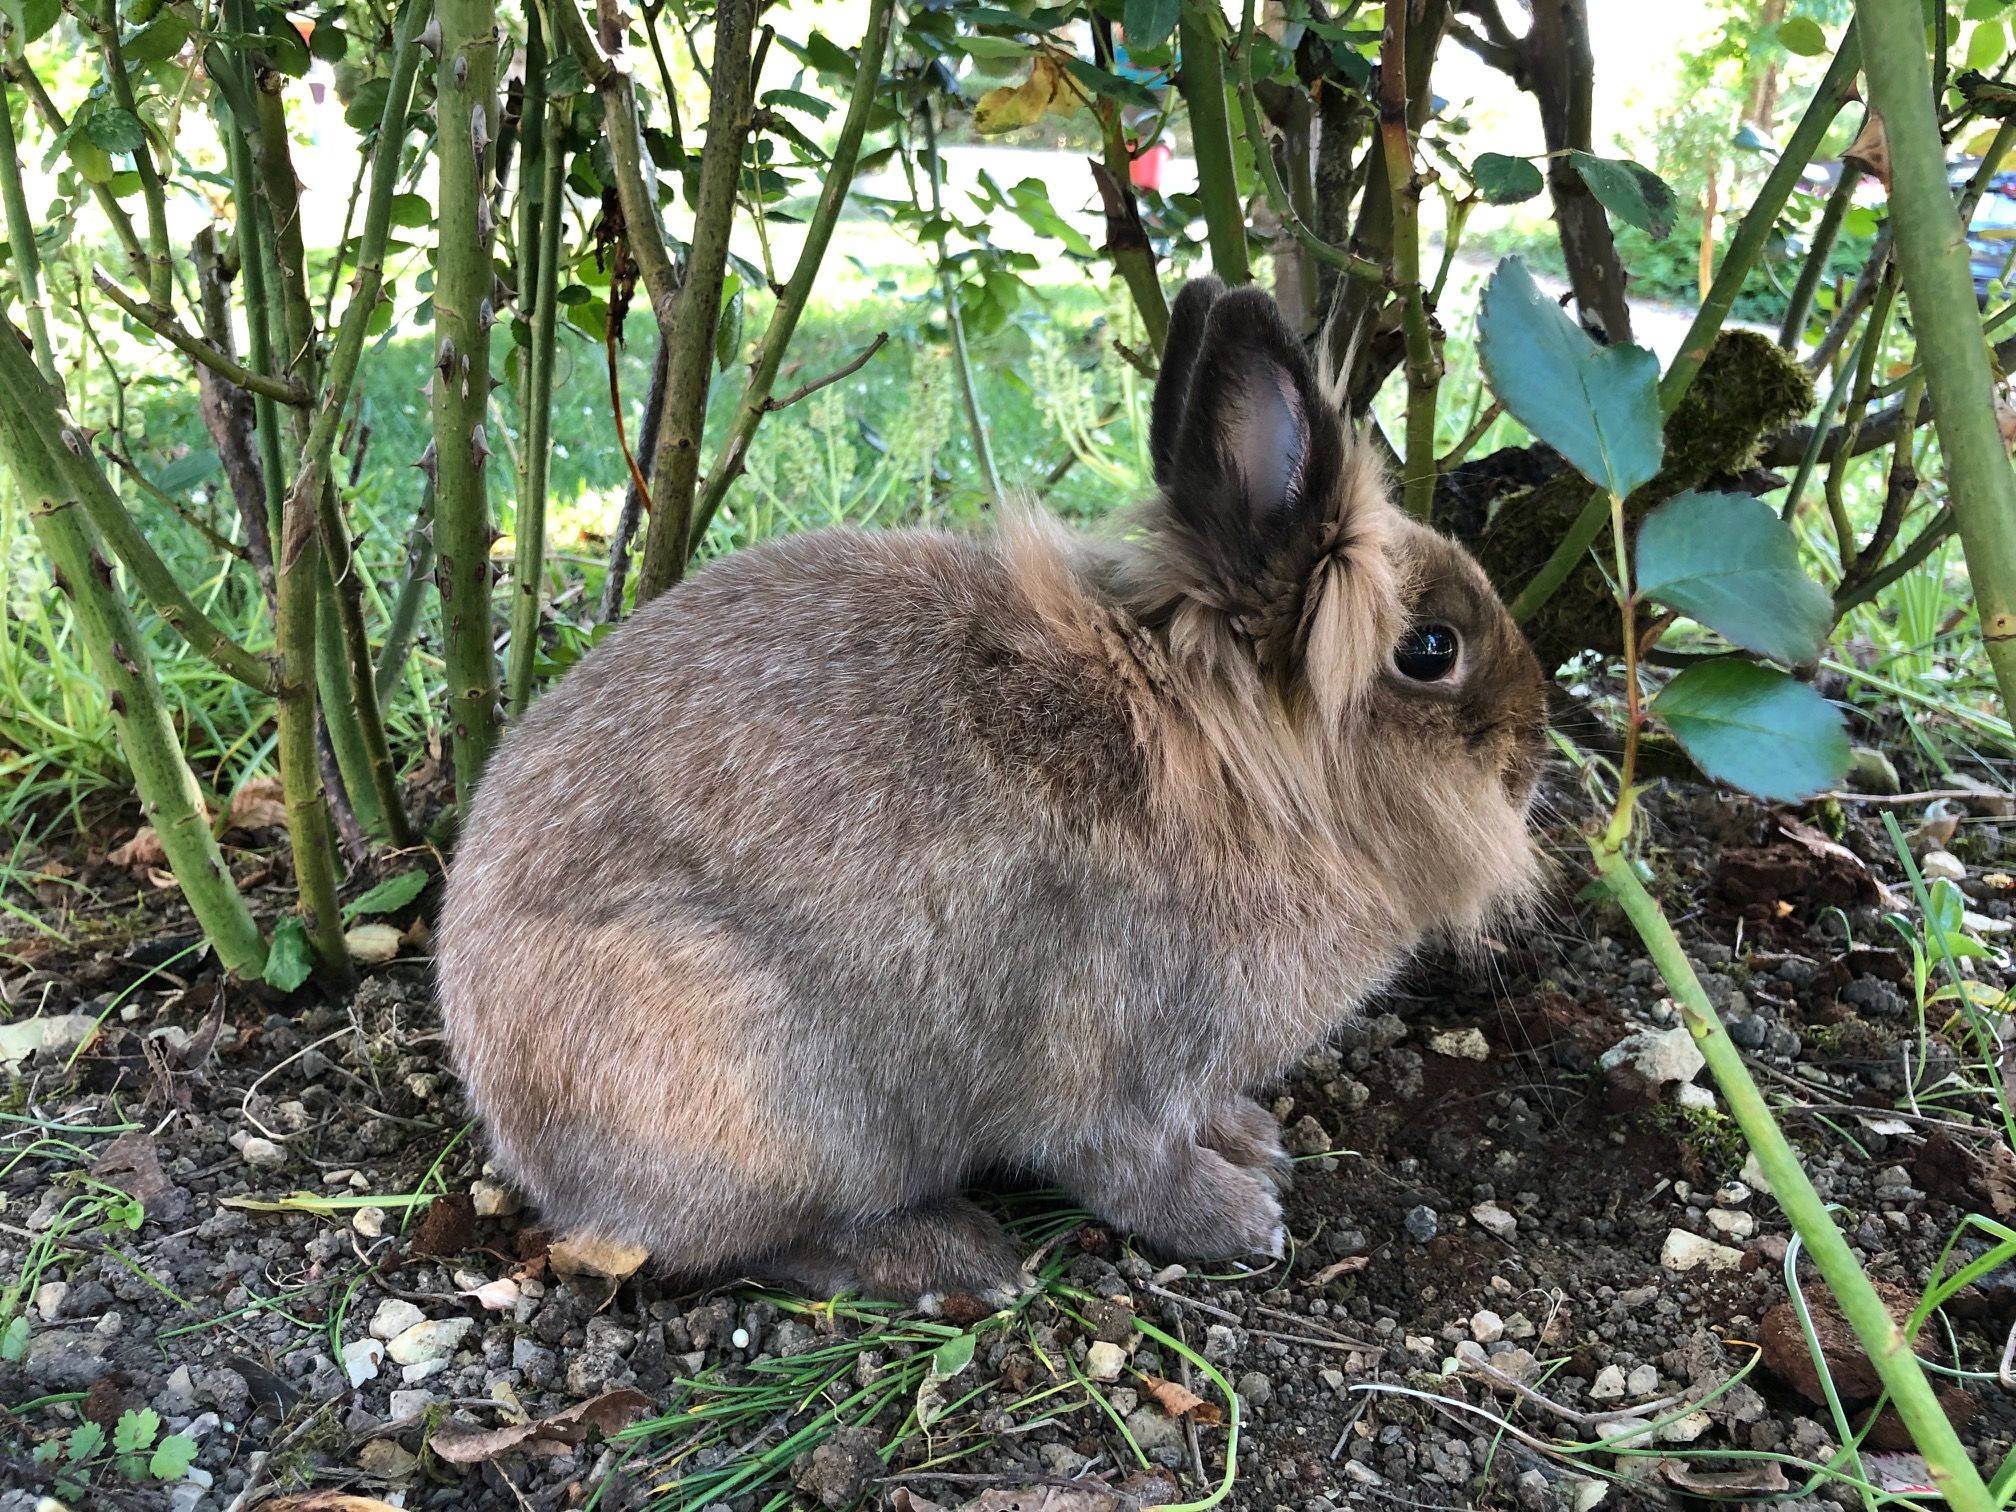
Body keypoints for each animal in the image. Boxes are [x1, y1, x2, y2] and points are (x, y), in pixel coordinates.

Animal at [441, 282, 1540, 1306]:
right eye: (1430, 650)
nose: (1530, 755)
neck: (1231, 766)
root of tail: (509, 1108)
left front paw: (1252, 1143)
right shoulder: (1112, 1065)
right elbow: (1125, 1163)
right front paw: (1238, 1219)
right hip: (774, 1097)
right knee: (746, 1245)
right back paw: (957, 1259)